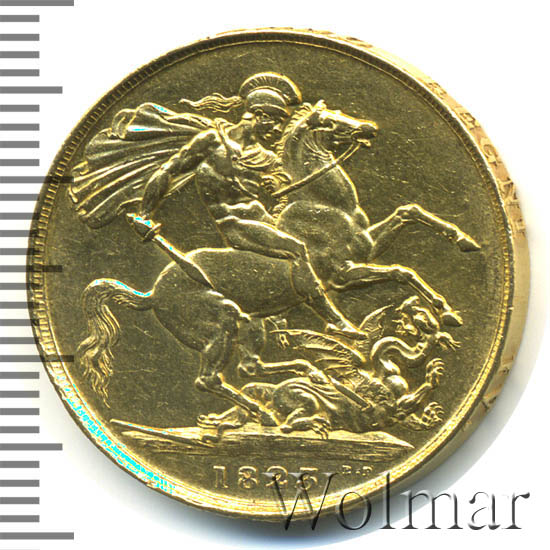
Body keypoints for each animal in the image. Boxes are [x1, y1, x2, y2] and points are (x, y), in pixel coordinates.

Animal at [77, 100, 479, 422]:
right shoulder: (345, 274)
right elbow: (401, 270)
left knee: (248, 365)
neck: (322, 202)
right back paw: (268, 408)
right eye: (328, 121)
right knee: (209, 378)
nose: (369, 127)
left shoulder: (366, 249)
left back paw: (298, 382)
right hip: (221, 319)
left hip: (252, 322)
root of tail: (151, 294)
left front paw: (464, 245)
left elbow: (409, 213)